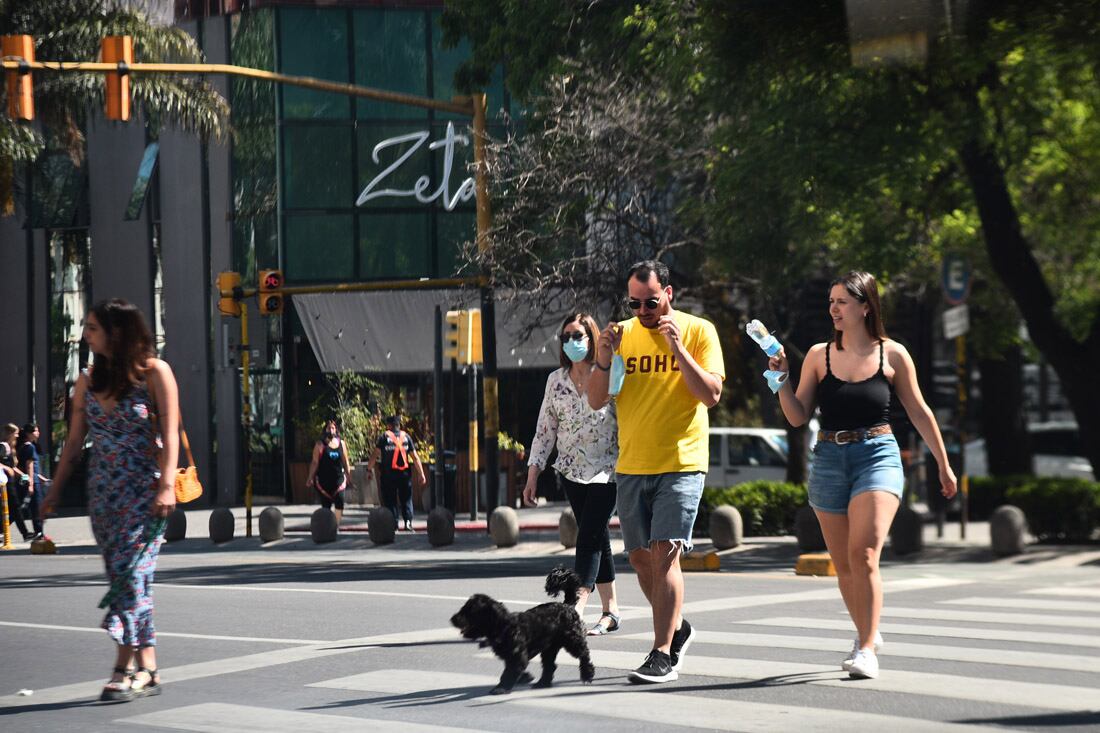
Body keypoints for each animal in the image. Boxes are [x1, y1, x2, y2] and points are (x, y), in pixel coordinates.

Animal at [451, 563, 598, 691]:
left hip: (572, 640)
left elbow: (508, 673)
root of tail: (567, 605)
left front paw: (501, 688)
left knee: (584, 655)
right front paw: (525, 677)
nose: (453, 619)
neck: (503, 626)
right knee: (550, 666)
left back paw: (587, 674)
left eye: (469, 611)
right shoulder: (513, 657)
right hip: (549, 648)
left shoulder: (517, 657)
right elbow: (515, 670)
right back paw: (542, 683)